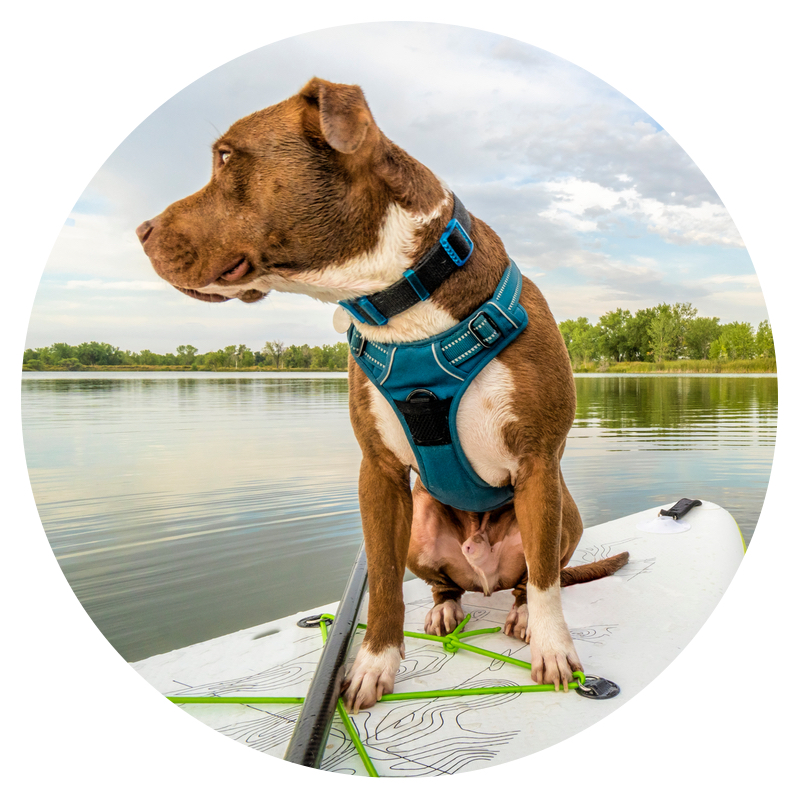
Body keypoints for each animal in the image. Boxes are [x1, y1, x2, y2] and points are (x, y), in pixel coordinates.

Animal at [136, 76, 620, 712]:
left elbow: (544, 583)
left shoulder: (538, 463)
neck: (401, 300)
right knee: (443, 584)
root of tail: (483, 572)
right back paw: (444, 610)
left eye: (224, 156)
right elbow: (384, 582)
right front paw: (374, 664)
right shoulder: (380, 475)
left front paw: (553, 649)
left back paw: (516, 618)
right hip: (421, 526)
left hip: (564, 513)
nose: (140, 232)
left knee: (531, 579)